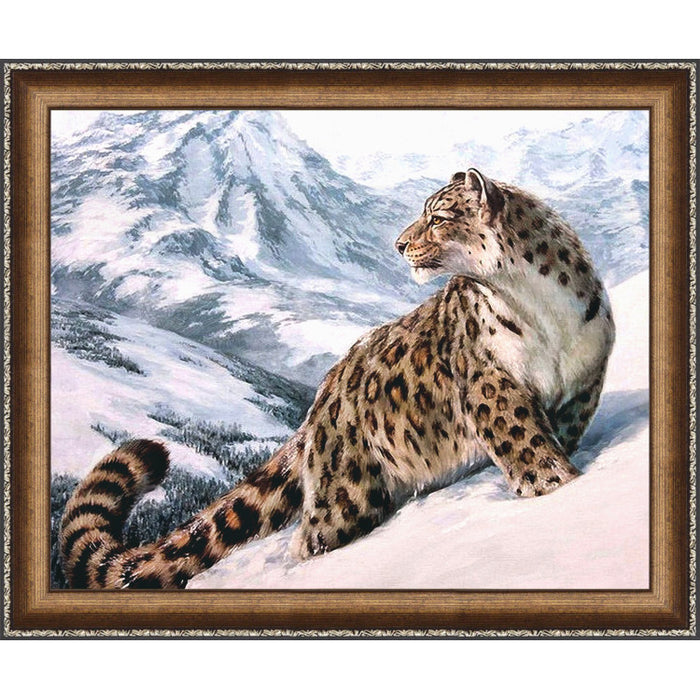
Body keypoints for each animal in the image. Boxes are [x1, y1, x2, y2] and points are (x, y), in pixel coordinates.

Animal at [59, 168, 615, 589]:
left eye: (437, 217)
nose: (399, 244)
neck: (539, 307)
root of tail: (321, 399)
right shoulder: (491, 383)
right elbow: (525, 442)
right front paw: (553, 487)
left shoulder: (584, 378)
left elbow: (556, 433)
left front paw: (562, 481)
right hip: (346, 495)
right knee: (311, 539)